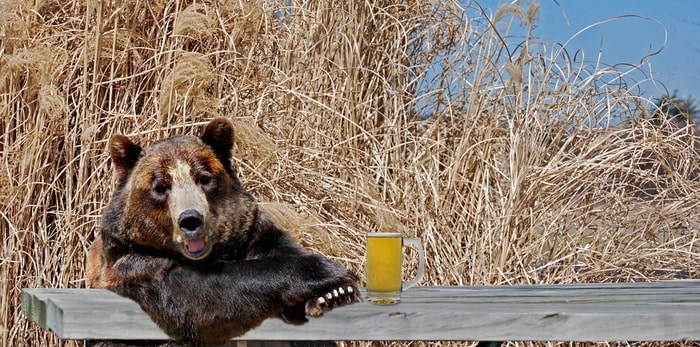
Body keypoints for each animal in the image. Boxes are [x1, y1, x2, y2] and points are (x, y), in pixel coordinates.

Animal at [86, 118, 360, 346]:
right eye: (161, 186)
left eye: (204, 177)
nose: (191, 220)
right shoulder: (136, 264)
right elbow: (203, 293)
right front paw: (326, 271)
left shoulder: (251, 232)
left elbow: (281, 247)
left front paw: (334, 294)